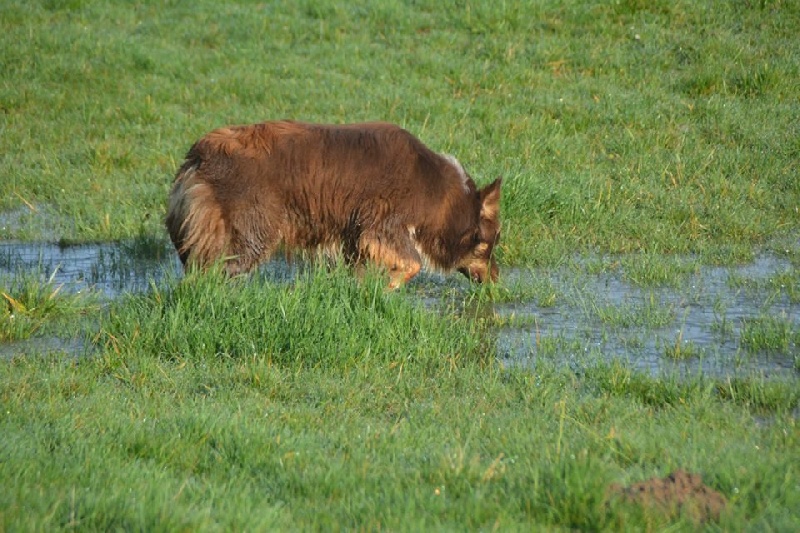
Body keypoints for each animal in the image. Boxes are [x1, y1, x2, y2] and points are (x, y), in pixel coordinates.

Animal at [165, 120, 500, 286]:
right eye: (490, 245)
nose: (497, 280)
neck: (440, 192)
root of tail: (199, 155)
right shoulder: (383, 227)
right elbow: (412, 264)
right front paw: (388, 288)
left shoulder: (356, 237)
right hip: (252, 236)